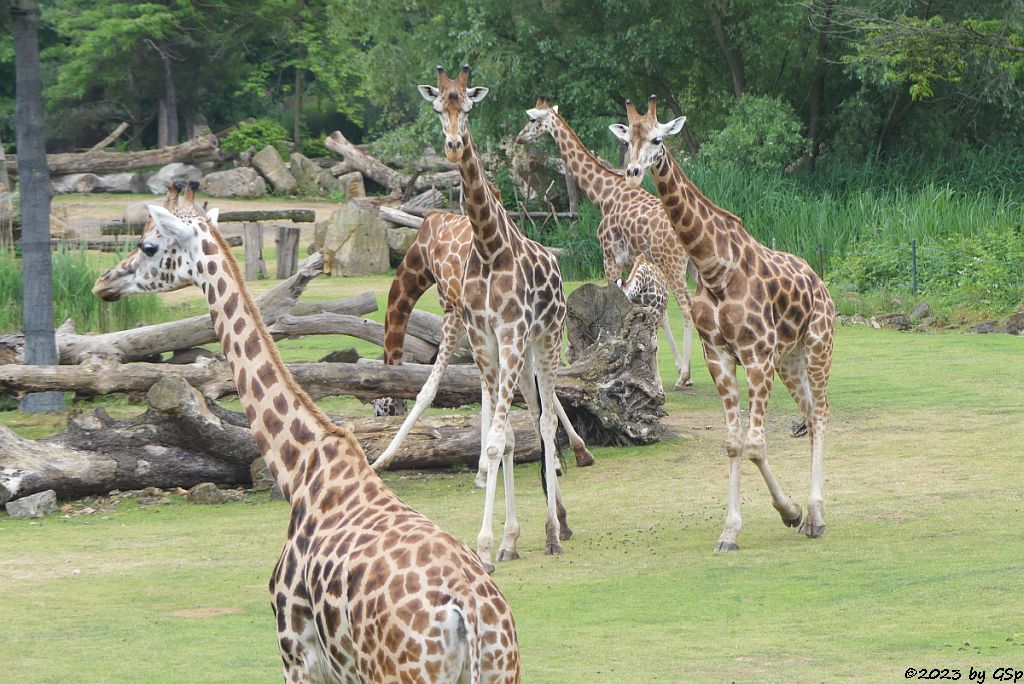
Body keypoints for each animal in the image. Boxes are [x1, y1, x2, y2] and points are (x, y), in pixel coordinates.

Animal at [90, 193, 520, 684]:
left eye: (147, 246)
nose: (103, 283)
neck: (299, 469)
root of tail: (472, 616)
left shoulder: (297, 652)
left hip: (397, 673)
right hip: (502, 669)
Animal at [368, 208, 598, 481]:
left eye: (380, 411)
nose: (382, 420)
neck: (420, 256)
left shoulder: (453, 309)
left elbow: (430, 389)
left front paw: (380, 461)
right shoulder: (476, 320)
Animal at [417, 65, 577, 573]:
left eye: (468, 106)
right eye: (437, 107)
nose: (453, 145)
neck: (488, 247)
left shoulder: (510, 333)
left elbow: (496, 439)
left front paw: (487, 546)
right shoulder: (484, 339)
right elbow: (500, 438)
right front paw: (503, 541)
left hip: (546, 341)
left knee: (546, 422)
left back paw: (554, 533)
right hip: (522, 358)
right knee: (533, 417)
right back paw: (554, 523)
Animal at [516, 94, 700, 389]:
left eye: (533, 119)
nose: (520, 137)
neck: (603, 193)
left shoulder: (610, 255)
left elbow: (616, 303)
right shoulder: (635, 261)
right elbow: (652, 314)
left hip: (675, 265)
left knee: (687, 307)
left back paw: (684, 377)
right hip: (695, 266)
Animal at [606, 96, 831, 552]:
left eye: (657, 139)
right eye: (627, 140)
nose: (633, 171)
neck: (714, 269)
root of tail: (820, 282)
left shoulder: (757, 357)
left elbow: (755, 444)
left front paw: (791, 511)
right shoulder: (721, 358)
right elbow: (732, 444)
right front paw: (730, 531)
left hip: (818, 347)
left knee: (820, 416)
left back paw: (816, 516)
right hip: (790, 360)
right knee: (811, 414)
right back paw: (811, 514)